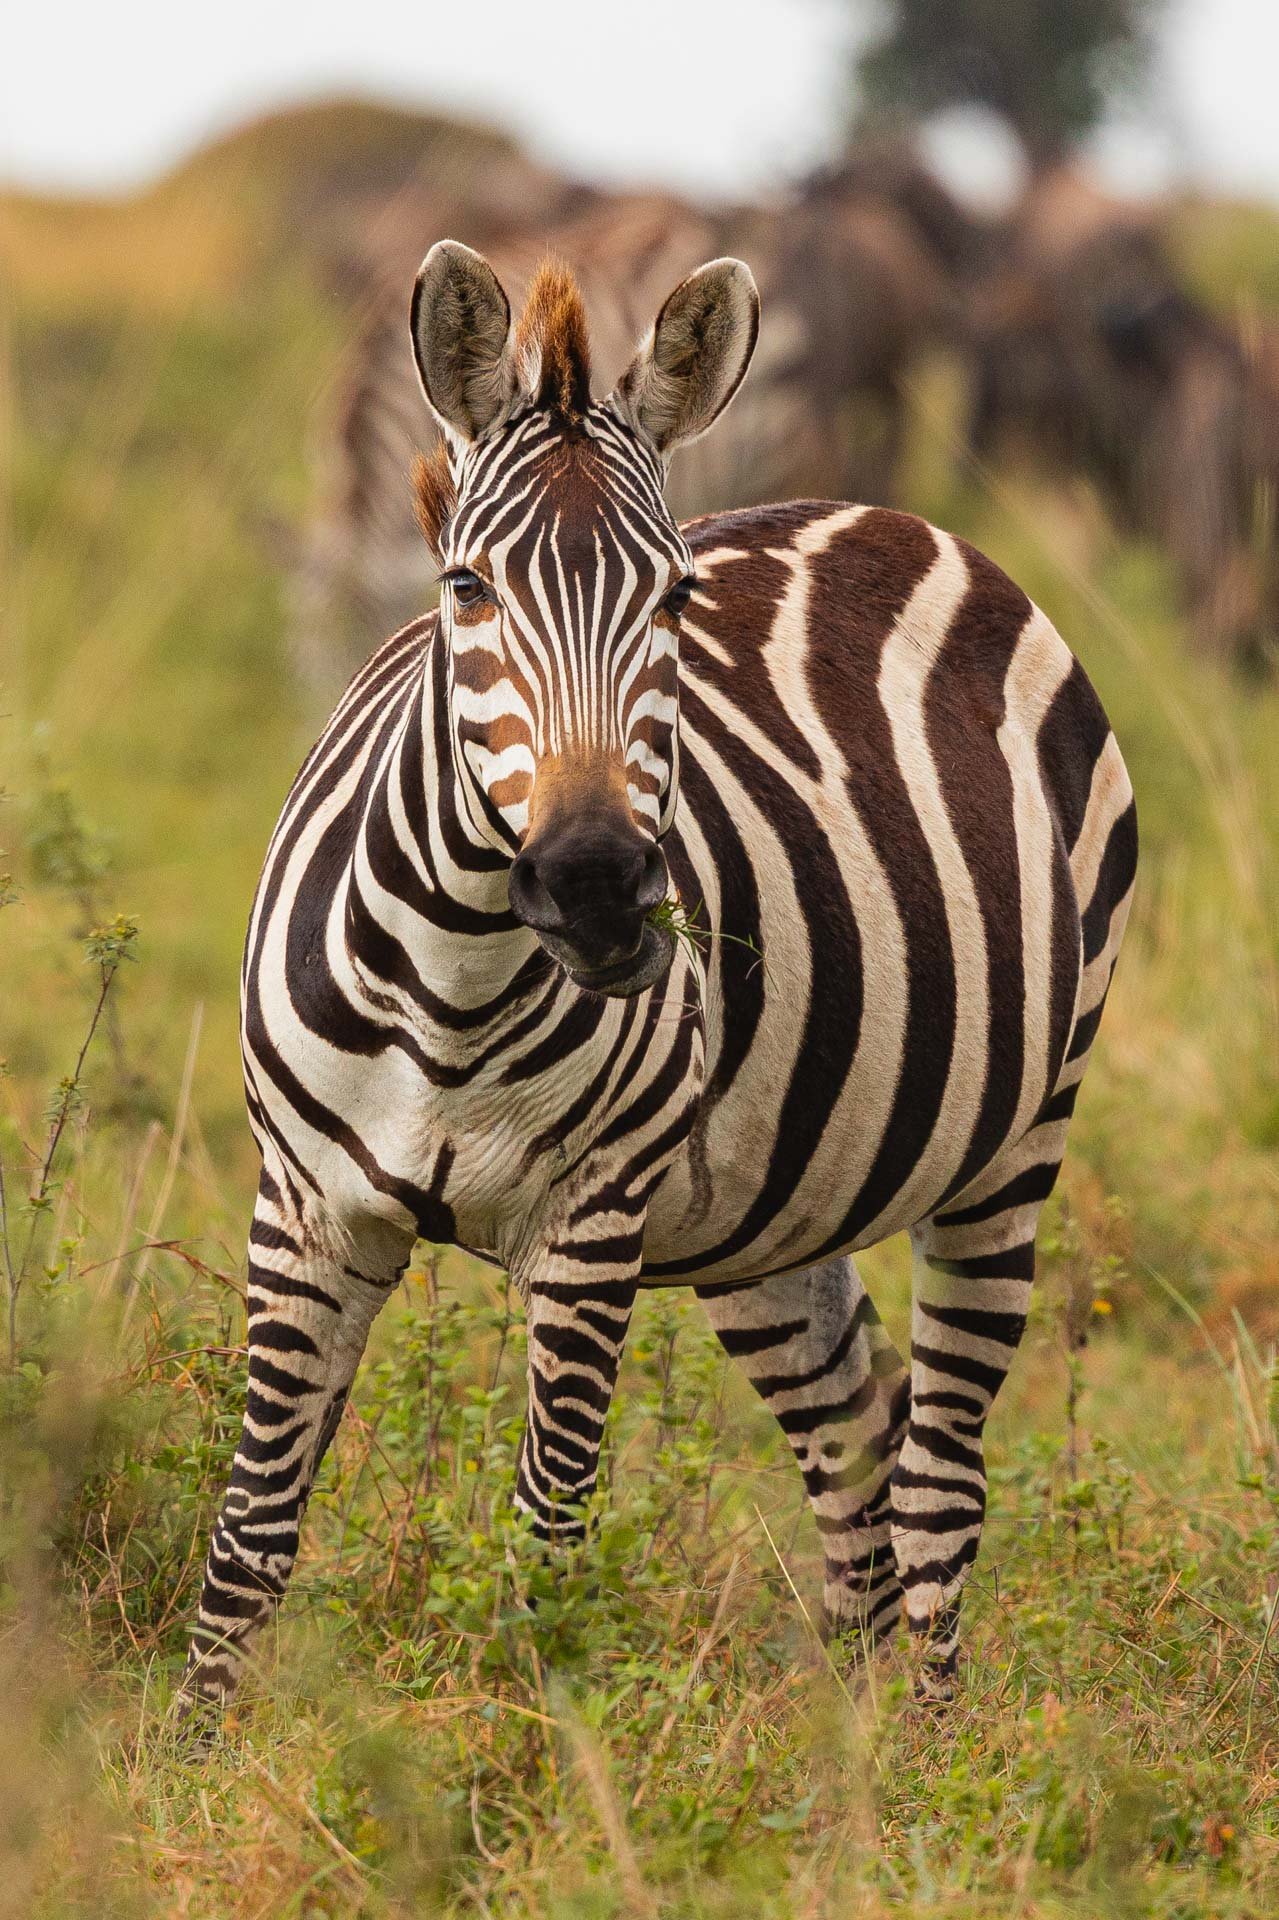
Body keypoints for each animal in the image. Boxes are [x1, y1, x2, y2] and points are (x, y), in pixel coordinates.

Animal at [184, 242, 1137, 1711]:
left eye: (678, 600)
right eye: (466, 590)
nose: (591, 884)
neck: (453, 981)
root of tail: (894, 519)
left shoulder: (589, 1226)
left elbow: (546, 1534)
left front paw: (519, 1747)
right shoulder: (302, 1211)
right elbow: (252, 1525)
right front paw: (192, 1749)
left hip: (1012, 1144)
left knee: (937, 1478)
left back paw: (931, 1752)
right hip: (767, 1201)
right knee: (853, 1434)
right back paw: (851, 1749)